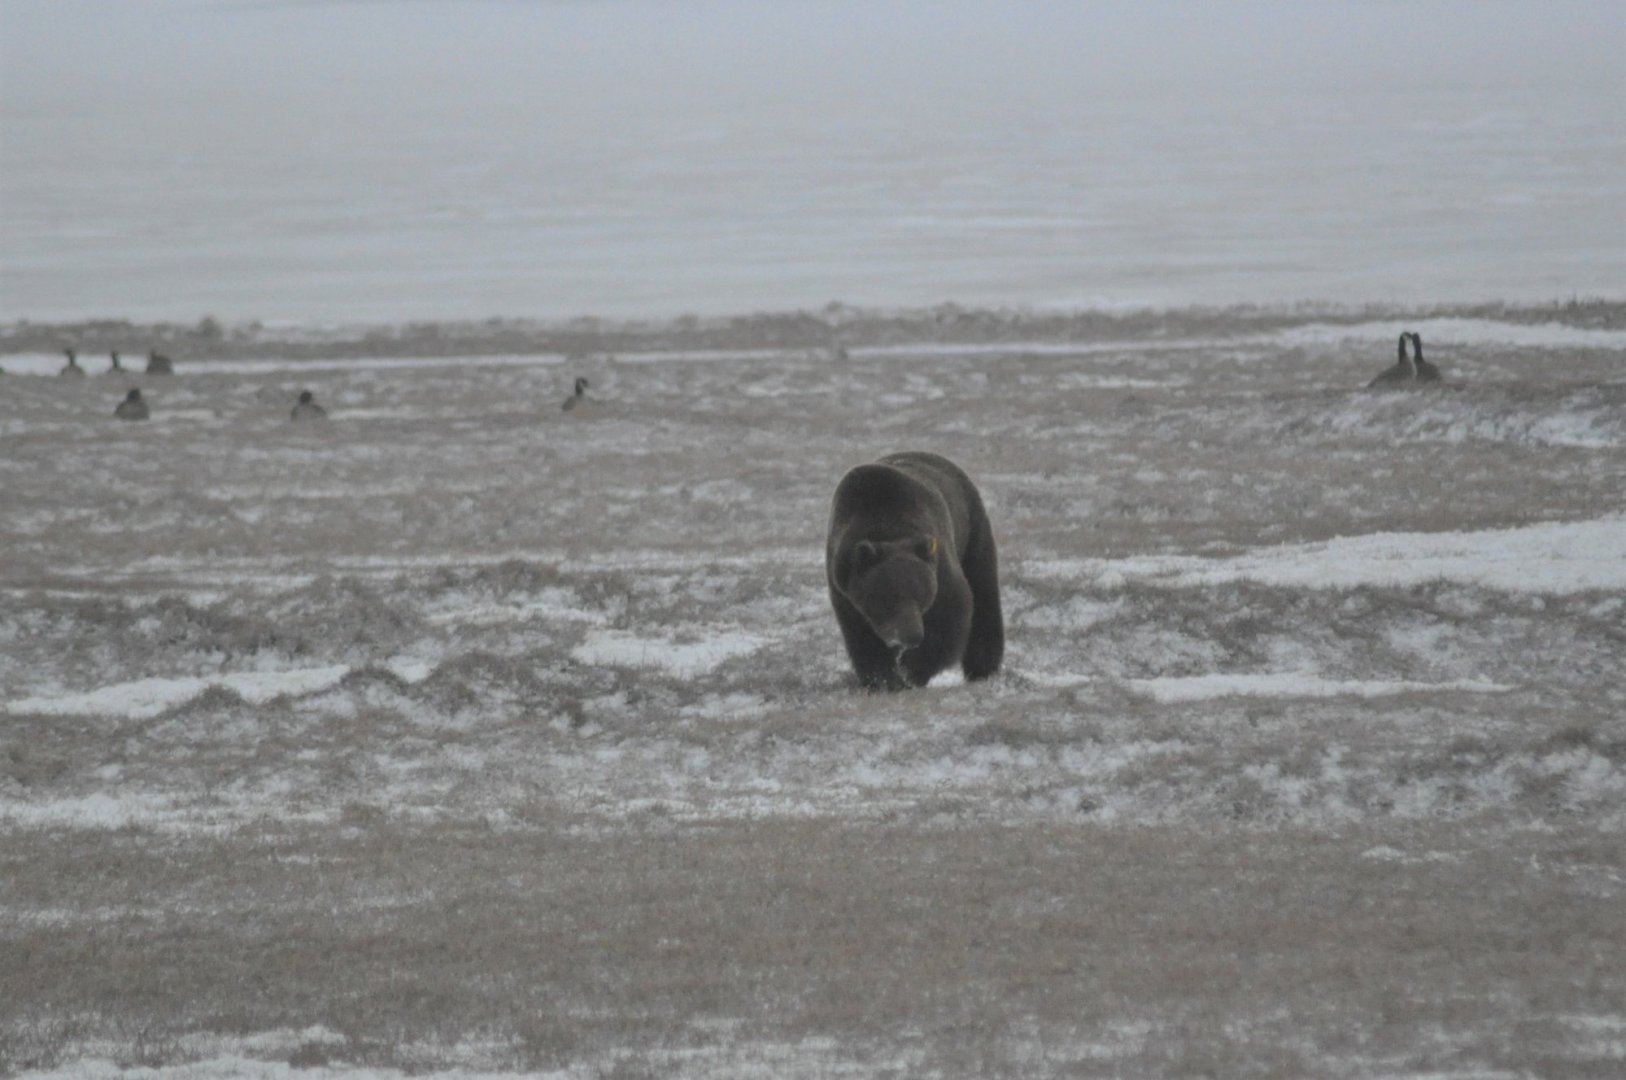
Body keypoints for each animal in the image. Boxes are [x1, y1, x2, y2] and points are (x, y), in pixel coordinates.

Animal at [826, 451, 1004, 690]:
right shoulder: (844, 590)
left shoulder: (939, 567)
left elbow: (952, 613)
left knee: (984, 598)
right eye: (888, 597)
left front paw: (911, 671)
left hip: (973, 534)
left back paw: (982, 670)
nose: (912, 636)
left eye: (922, 595)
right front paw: (884, 679)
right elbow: (863, 640)